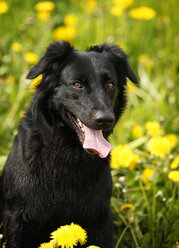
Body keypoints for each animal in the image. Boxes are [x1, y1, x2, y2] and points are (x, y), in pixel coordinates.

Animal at [0, 41, 138, 247]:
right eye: (77, 84)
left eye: (110, 84)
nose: (106, 119)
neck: (67, 153)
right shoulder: (17, 219)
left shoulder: (100, 219)